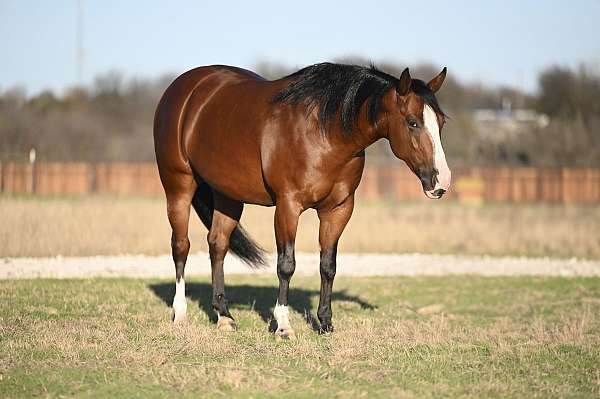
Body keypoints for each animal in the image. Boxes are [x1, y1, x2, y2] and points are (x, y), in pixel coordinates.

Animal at [155, 62, 450, 340]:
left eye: (441, 122)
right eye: (412, 122)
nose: (441, 182)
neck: (326, 132)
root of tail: (186, 87)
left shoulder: (338, 210)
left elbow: (328, 266)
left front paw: (326, 323)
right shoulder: (288, 206)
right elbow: (286, 265)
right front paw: (283, 326)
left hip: (228, 195)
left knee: (218, 245)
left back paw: (224, 317)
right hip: (179, 186)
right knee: (181, 246)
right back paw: (180, 315)